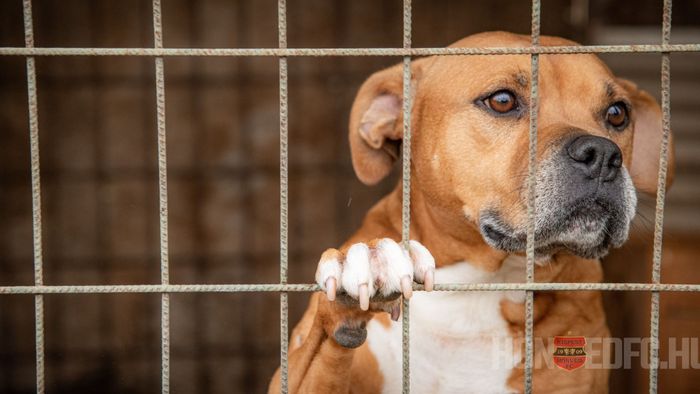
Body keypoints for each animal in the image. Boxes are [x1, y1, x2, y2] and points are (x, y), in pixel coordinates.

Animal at [268, 31, 672, 394]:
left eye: (617, 114)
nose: (602, 155)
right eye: (503, 101)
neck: (477, 288)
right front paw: (369, 261)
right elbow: (319, 349)